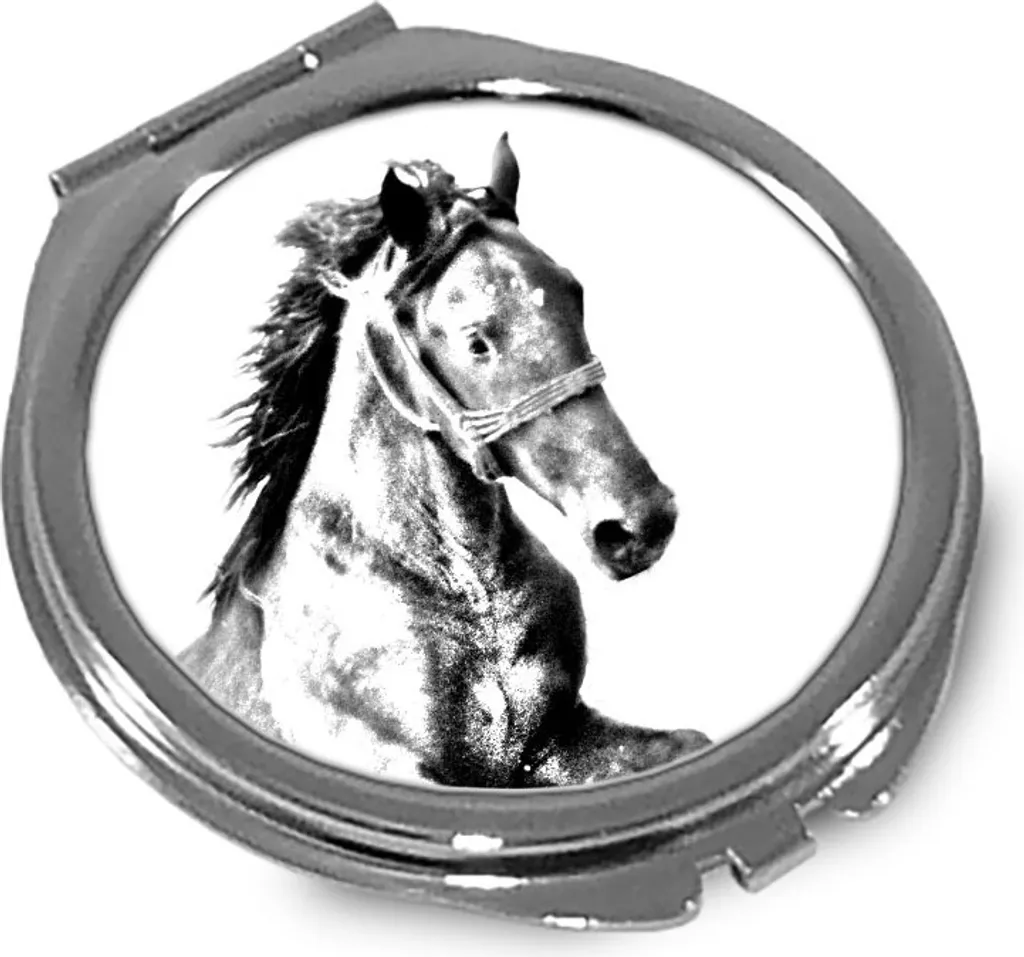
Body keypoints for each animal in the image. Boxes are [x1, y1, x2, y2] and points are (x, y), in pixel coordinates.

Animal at [178, 134, 710, 787]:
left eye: (575, 296)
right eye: (475, 340)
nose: (639, 524)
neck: (467, 593)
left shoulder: (556, 738)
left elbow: (691, 742)